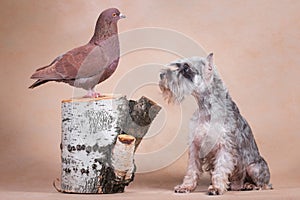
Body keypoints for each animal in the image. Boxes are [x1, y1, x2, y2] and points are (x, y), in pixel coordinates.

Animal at [159, 53, 272, 195]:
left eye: (186, 69)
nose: (161, 75)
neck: (206, 109)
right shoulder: (195, 145)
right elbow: (192, 169)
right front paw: (186, 186)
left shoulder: (224, 146)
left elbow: (221, 169)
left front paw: (216, 188)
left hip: (253, 168)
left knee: (264, 184)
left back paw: (250, 185)